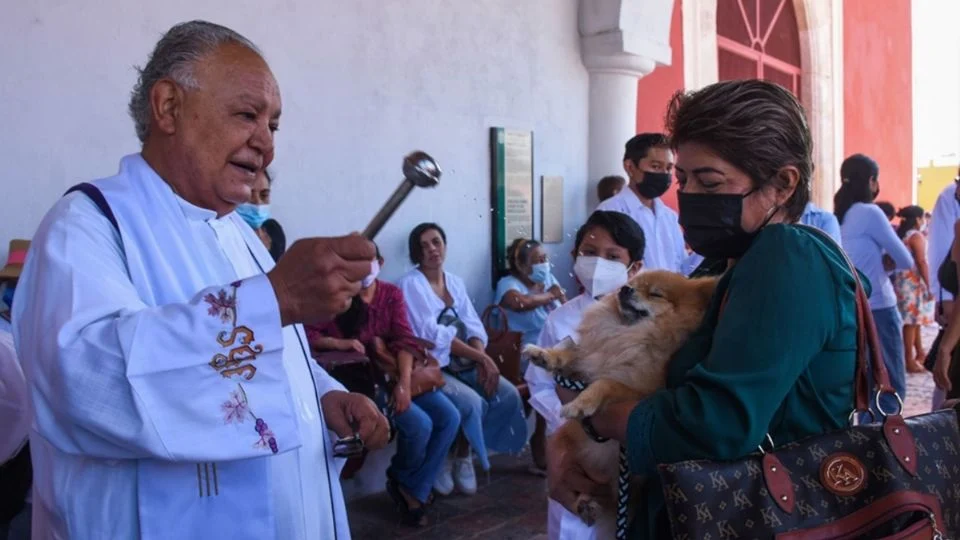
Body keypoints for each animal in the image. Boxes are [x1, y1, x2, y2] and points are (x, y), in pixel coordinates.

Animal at [520, 268, 716, 528]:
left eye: (655, 293)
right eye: (632, 283)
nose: (625, 289)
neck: (628, 333)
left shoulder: (641, 392)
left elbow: (606, 383)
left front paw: (580, 404)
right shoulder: (590, 359)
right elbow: (573, 354)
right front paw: (544, 355)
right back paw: (585, 504)